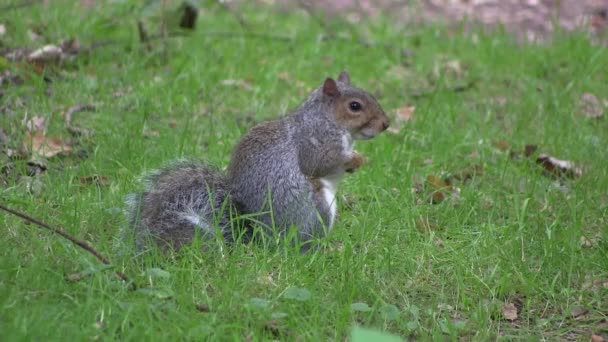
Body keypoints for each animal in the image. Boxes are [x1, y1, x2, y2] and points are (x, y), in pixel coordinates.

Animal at [127, 71, 390, 250]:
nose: (386, 124)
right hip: (319, 208)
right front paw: (358, 159)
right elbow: (319, 164)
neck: (327, 119)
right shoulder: (314, 144)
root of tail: (259, 239)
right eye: (354, 106)